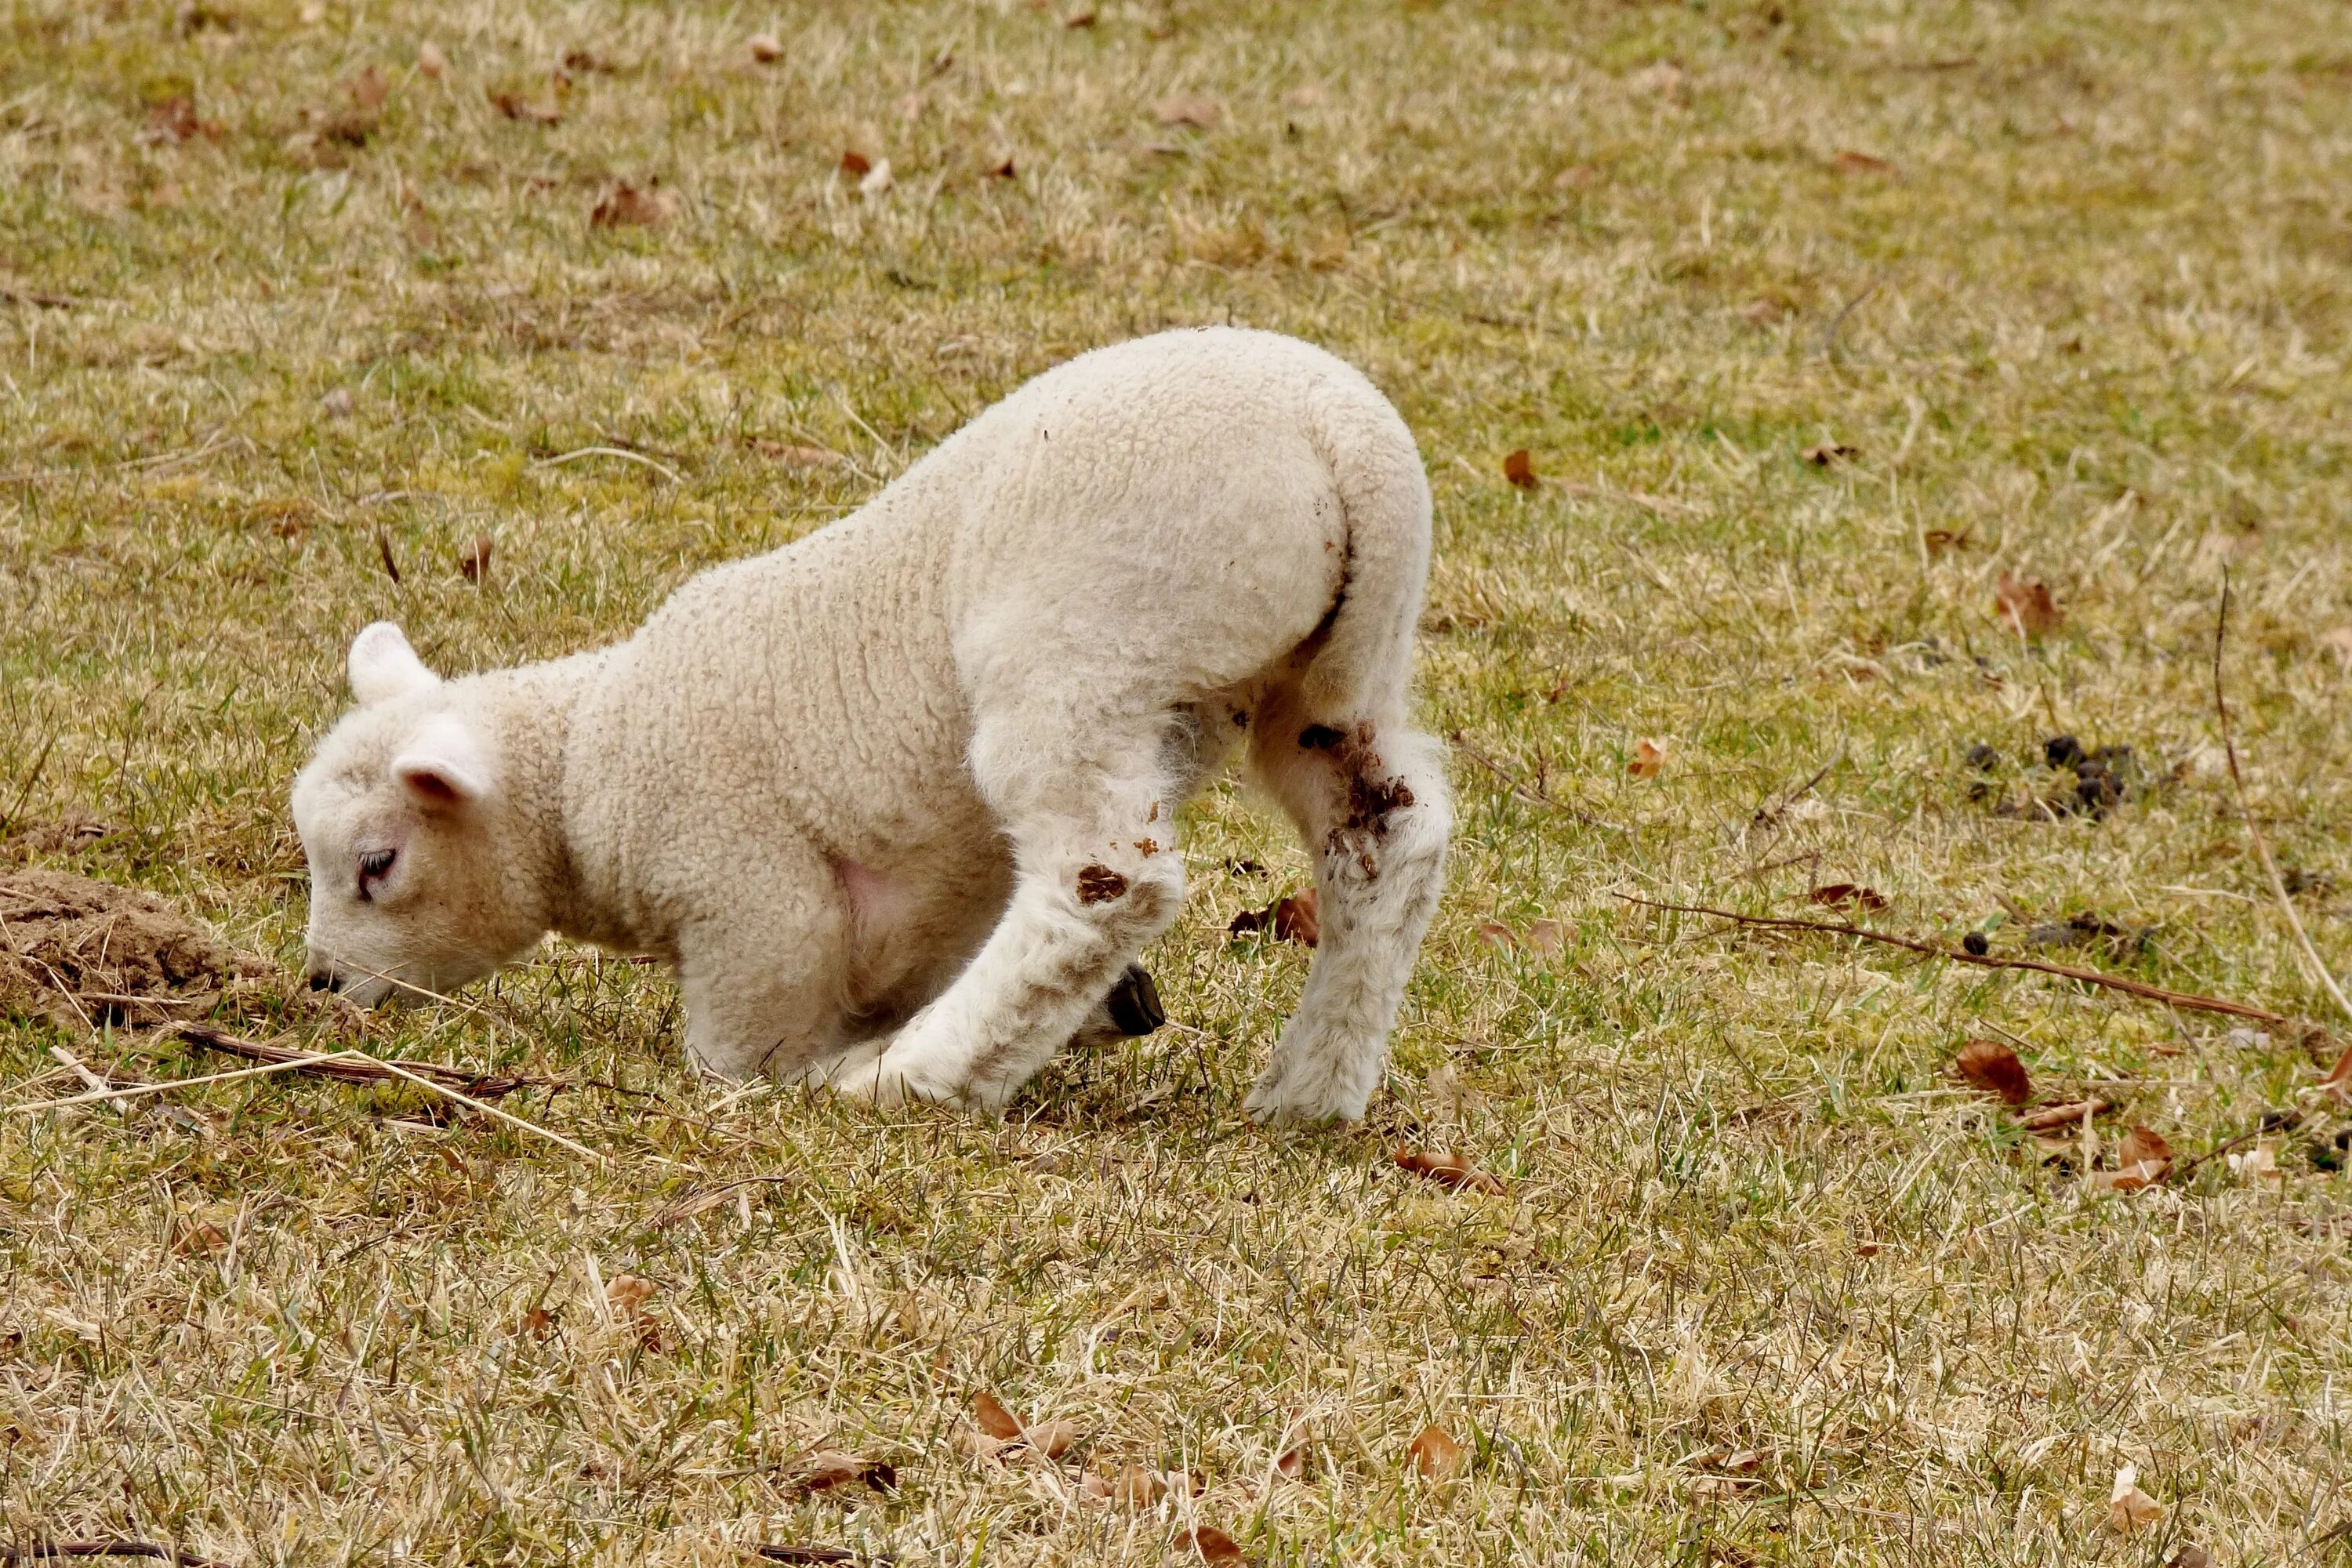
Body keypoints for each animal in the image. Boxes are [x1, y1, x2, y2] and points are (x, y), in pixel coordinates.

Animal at [285, 324, 1439, 1123]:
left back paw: (908, 1080)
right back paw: (1309, 1094)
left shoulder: (749, 900)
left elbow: (738, 1050)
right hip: (1331, 680)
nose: (322, 985)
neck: (583, 764)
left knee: (1105, 881)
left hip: (1088, 645)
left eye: (378, 864)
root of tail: (1343, 440)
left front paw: (803, 1076)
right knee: (1389, 836)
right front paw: (1108, 1022)